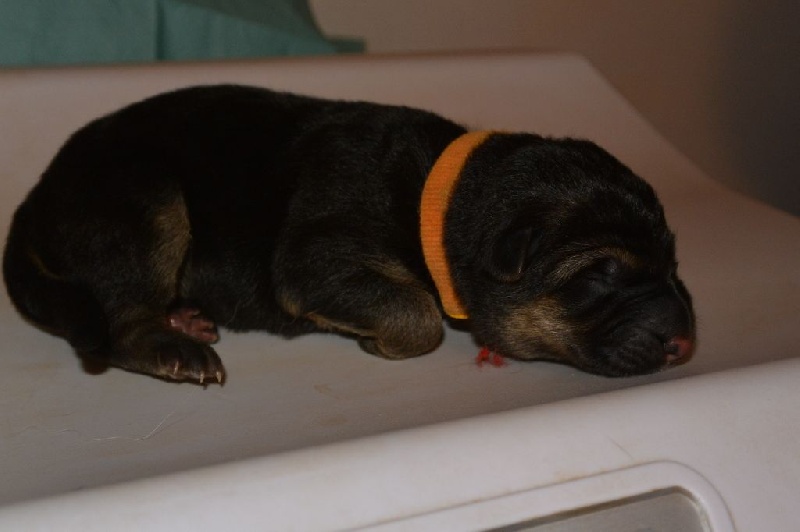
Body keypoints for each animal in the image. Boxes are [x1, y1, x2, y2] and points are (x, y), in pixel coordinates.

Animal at [3, 85, 695, 384]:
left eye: (673, 264)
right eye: (600, 273)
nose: (685, 343)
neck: (438, 195)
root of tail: (35, 196)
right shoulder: (317, 256)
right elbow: (419, 316)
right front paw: (377, 340)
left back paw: (185, 318)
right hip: (147, 194)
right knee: (118, 321)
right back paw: (174, 347)